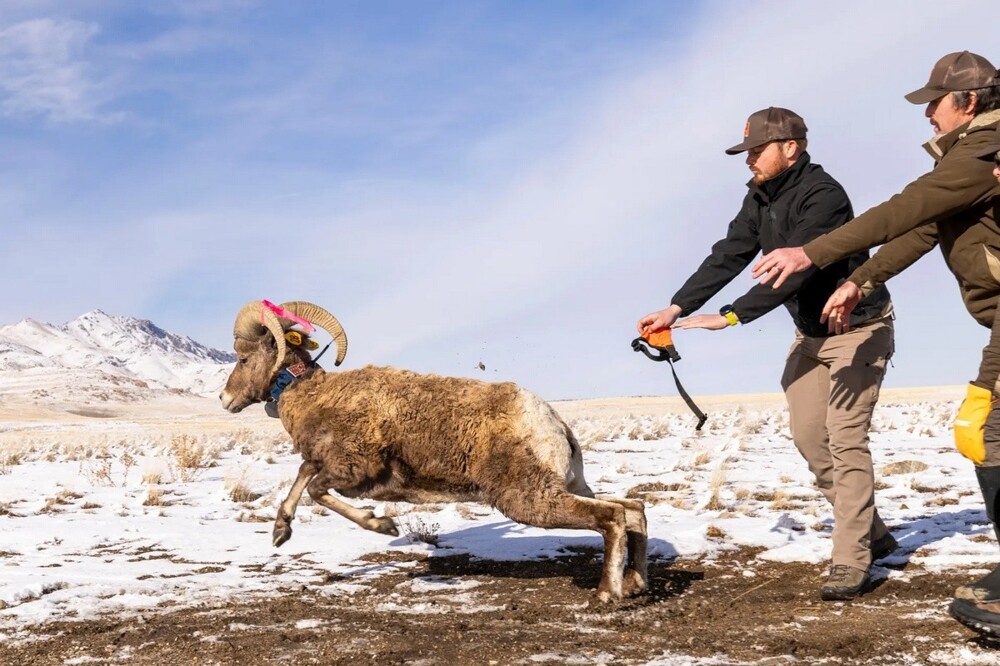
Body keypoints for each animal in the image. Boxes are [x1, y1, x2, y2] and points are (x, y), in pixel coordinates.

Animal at [219, 298, 648, 600]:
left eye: (243, 358)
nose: (224, 399)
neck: (315, 398)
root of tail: (551, 422)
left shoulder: (352, 472)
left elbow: (315, 488)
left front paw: (383, 525)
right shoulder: (324, 463)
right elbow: (303, 476)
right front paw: (280, 532)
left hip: (529, 499)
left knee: (612, 517)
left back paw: (606, 595)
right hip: (566, 487)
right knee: (633, 510)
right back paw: (635, 585)